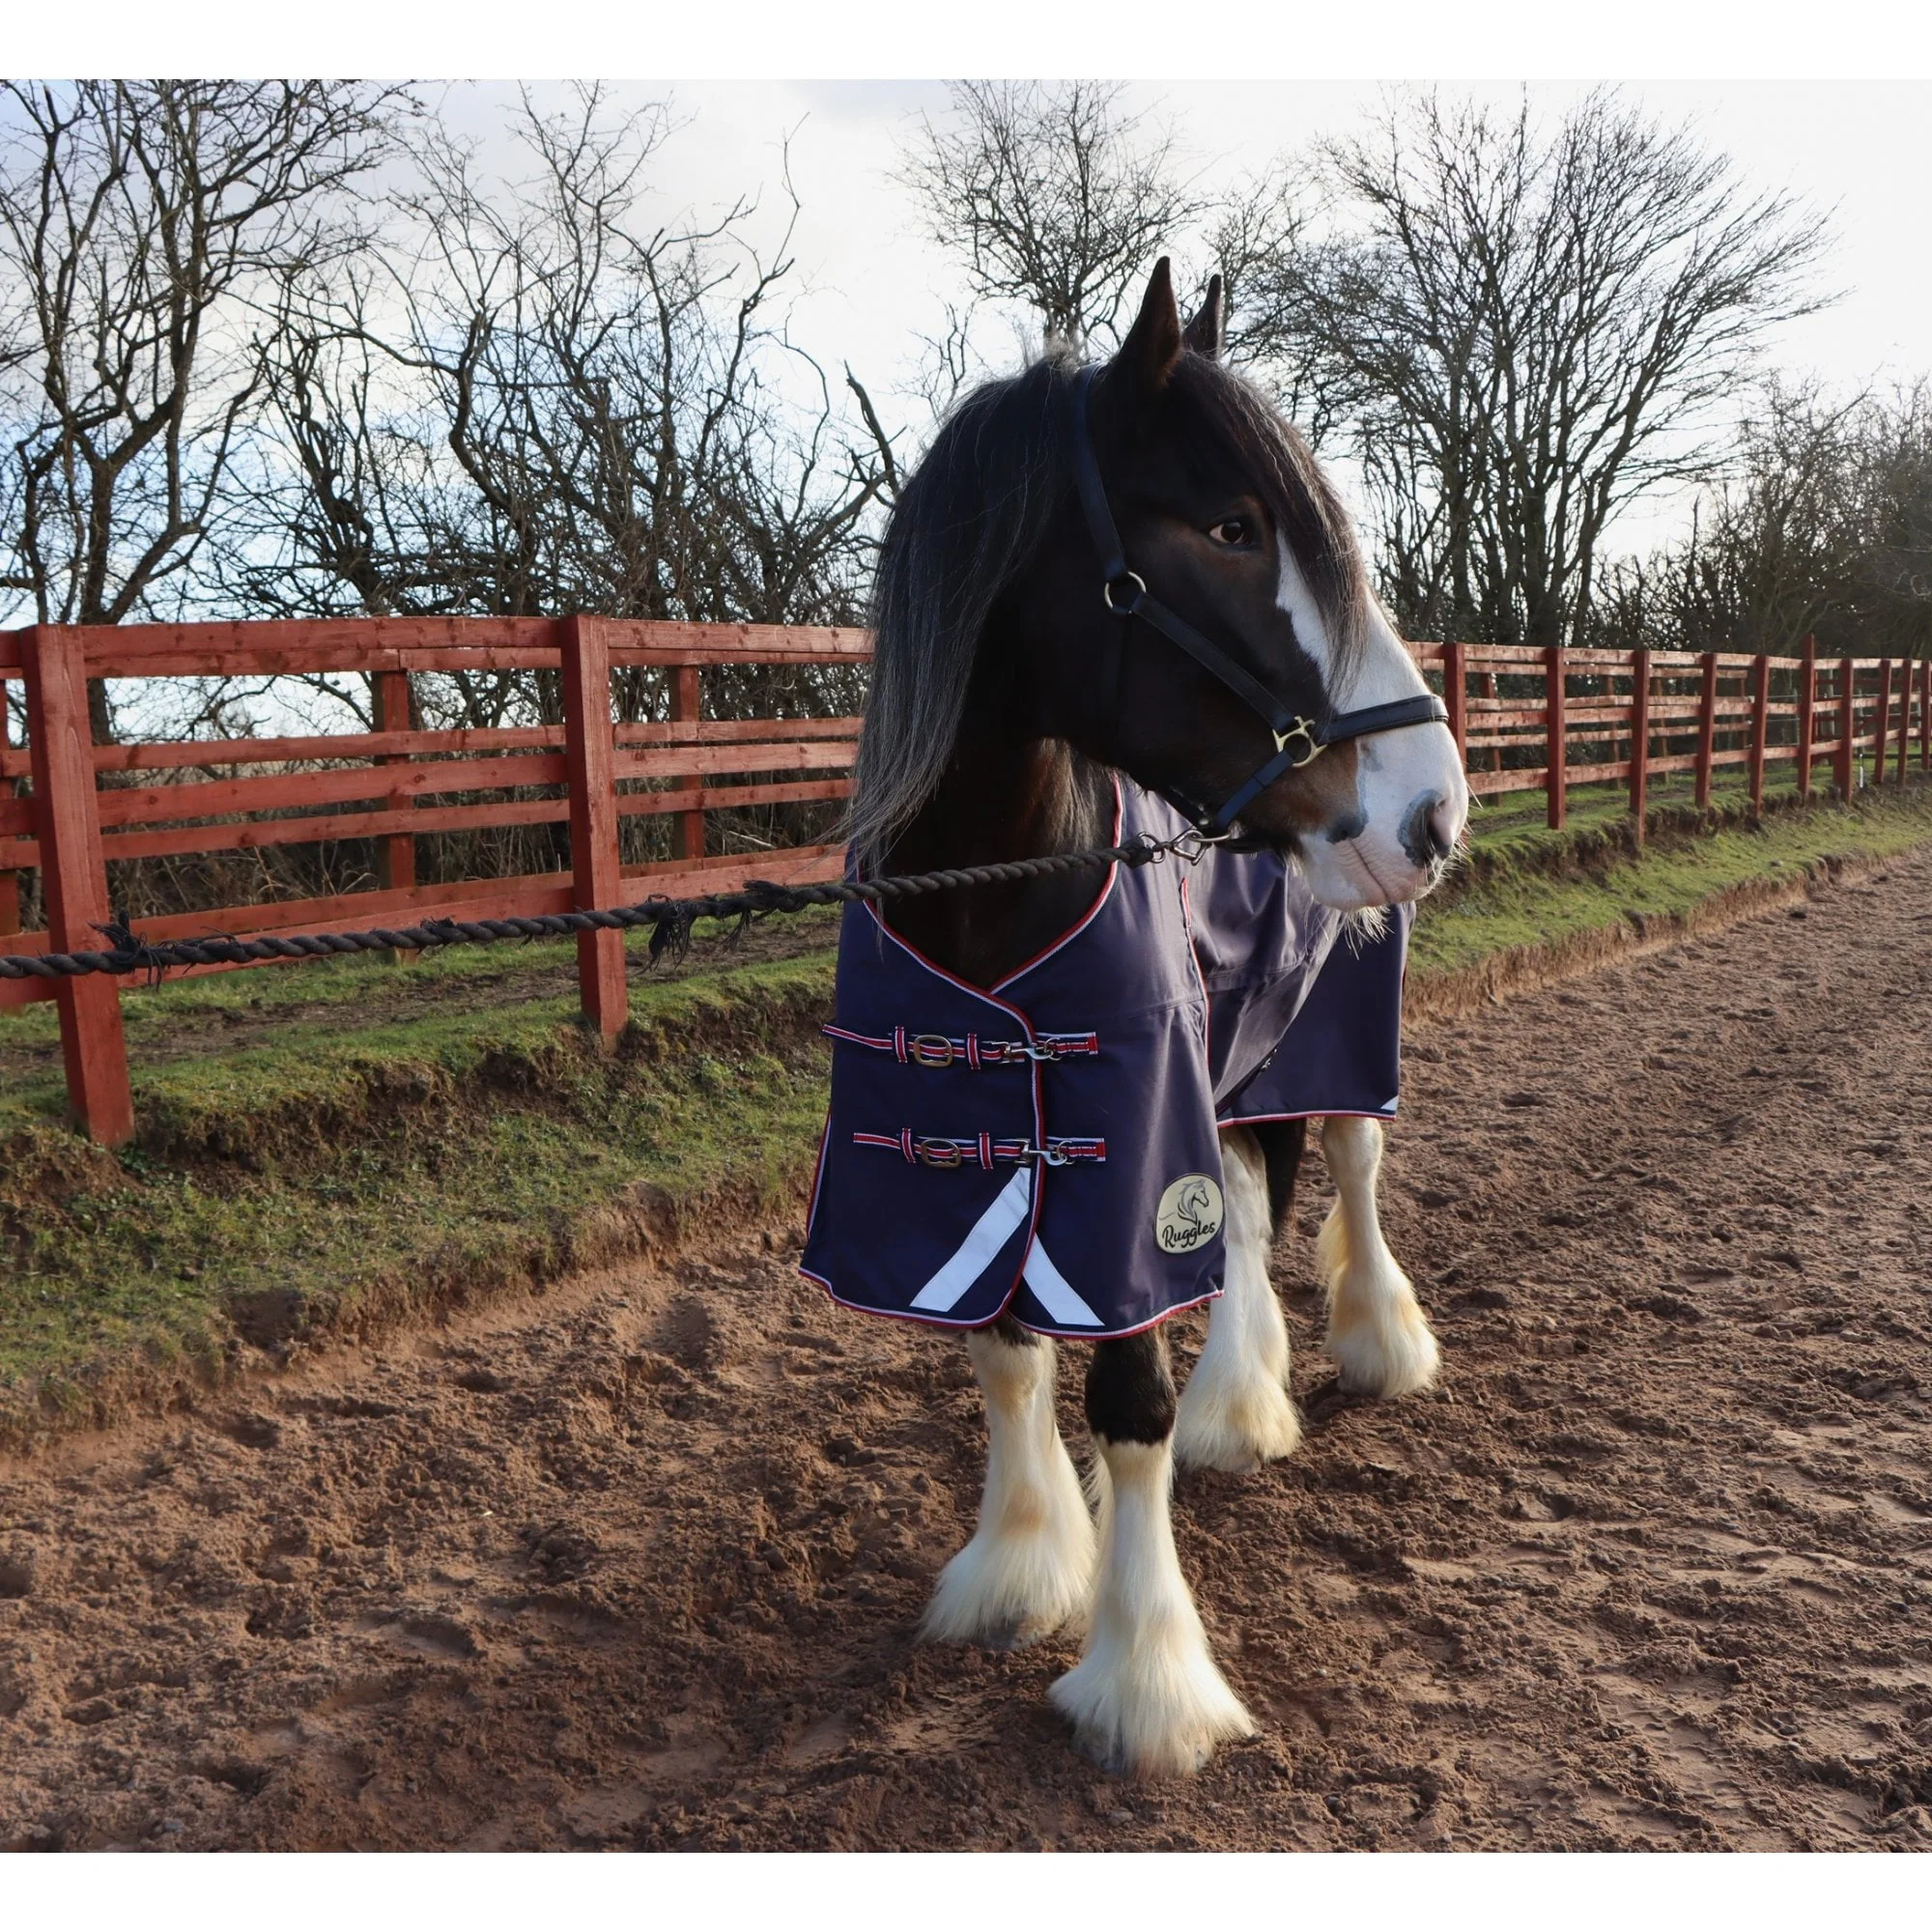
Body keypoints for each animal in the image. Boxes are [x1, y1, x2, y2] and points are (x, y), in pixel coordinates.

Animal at [799, 260, 1469, 1779]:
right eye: (1229, 525)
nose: (1431, 808)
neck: (990, 894)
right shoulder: (985, 1144)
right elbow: (1004, 1354)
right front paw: (1018, 1565)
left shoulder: (1123, 1156)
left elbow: (1129, 1405)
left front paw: (1146, 1677)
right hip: (1224, 1063)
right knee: (1246, 1204)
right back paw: (1248, 1400)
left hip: (1333, 1038)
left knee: (1348, 1165)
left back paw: (1372, 1345)